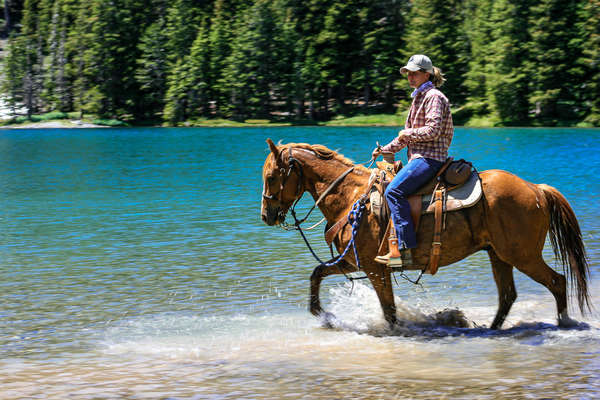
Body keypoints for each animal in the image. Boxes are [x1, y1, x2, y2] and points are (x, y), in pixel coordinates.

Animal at [262, 139, 592, 330]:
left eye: (271, 177)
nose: (266, 215)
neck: (351, 197)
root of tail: (536, 189)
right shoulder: (354, 261)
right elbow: (317, 273)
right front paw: (322, 314)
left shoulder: (374, 268)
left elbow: (389, 310)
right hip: (499, 256)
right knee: (508, 295)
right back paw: (490, 329)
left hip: (522, 255)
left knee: (556, 281)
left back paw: (564, 322)